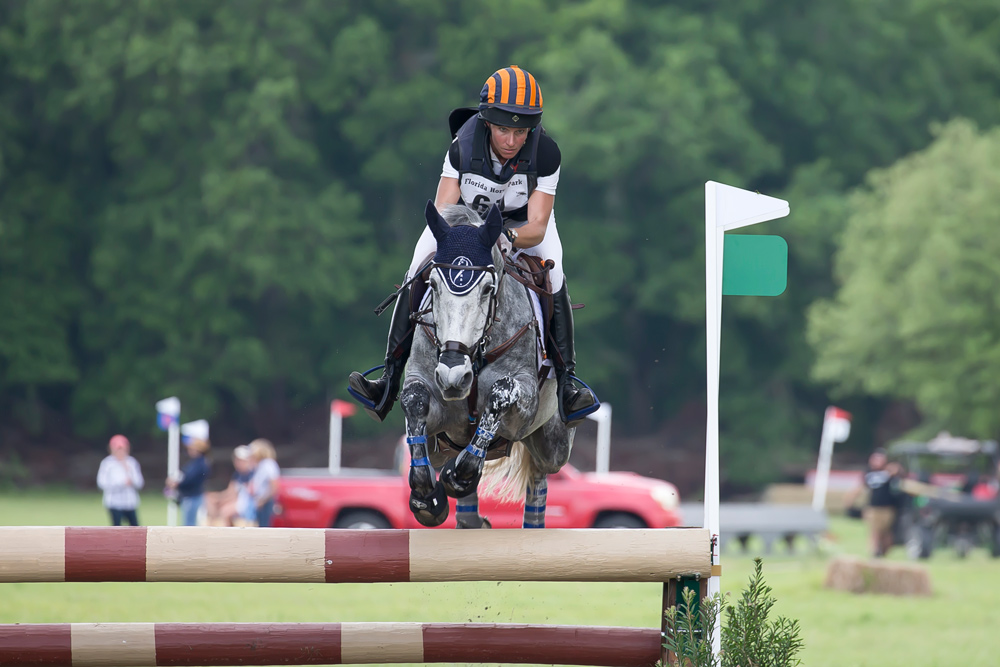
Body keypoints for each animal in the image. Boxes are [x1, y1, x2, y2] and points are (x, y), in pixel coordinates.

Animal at [398, 201, 576, 528]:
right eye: (432, 284)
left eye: (487, 289)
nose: (453, 375)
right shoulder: (426, 390)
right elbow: (414, 402)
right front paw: (427, 499)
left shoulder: (524, 404)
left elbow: (499, 394)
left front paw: (458, 476)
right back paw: (469, 518)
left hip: (554, 442)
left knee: (540, 471)